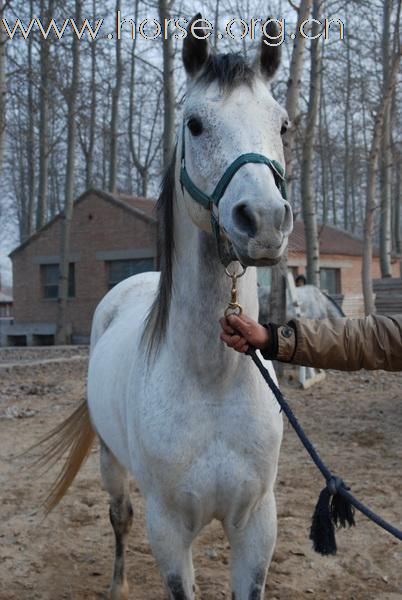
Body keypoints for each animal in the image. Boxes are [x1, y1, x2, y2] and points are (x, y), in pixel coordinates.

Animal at [43, 15, 292, 600]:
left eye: (283, 125)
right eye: (195, 124)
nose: (265, 221)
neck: (213, 383)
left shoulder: (257, 526)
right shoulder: (170, 532)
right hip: (112, 464)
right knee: (119, 517)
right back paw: (117, 585)